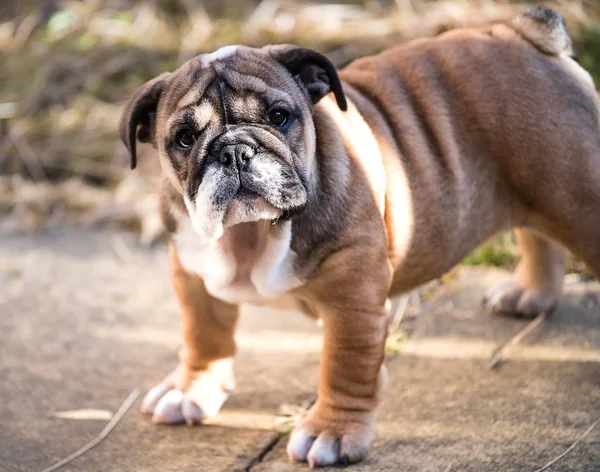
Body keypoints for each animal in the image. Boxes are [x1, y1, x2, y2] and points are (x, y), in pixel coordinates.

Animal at [119, 7, 600, 468]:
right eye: (184, 138)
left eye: (279, 116)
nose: (235, 150)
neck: (253, 233)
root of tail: (524, 33)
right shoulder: (193, 275)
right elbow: (204, 335)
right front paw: (190, 391)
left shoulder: (354, 298)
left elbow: (344, 365)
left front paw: (331, 433)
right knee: (536, 234)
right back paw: (529, 294)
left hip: (576, 196)